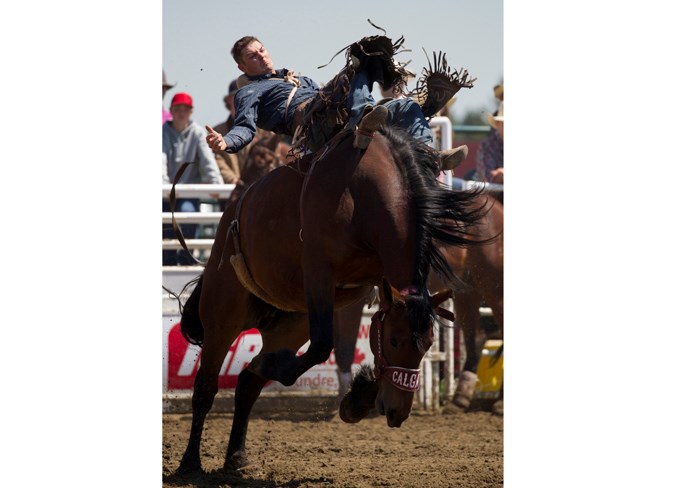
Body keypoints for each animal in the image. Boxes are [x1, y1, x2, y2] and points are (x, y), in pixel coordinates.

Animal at [176, 126, 486, 472]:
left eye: (429, 344)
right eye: (395, 341)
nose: (398, 413)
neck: (363, 195)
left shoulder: (369, 285)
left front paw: (358, 397)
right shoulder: (319, 273)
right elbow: (325, 344)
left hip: (290, 324)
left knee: (247, 385)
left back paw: (236, 455)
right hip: (223, 315)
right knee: (205, 387)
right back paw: (190, 462)